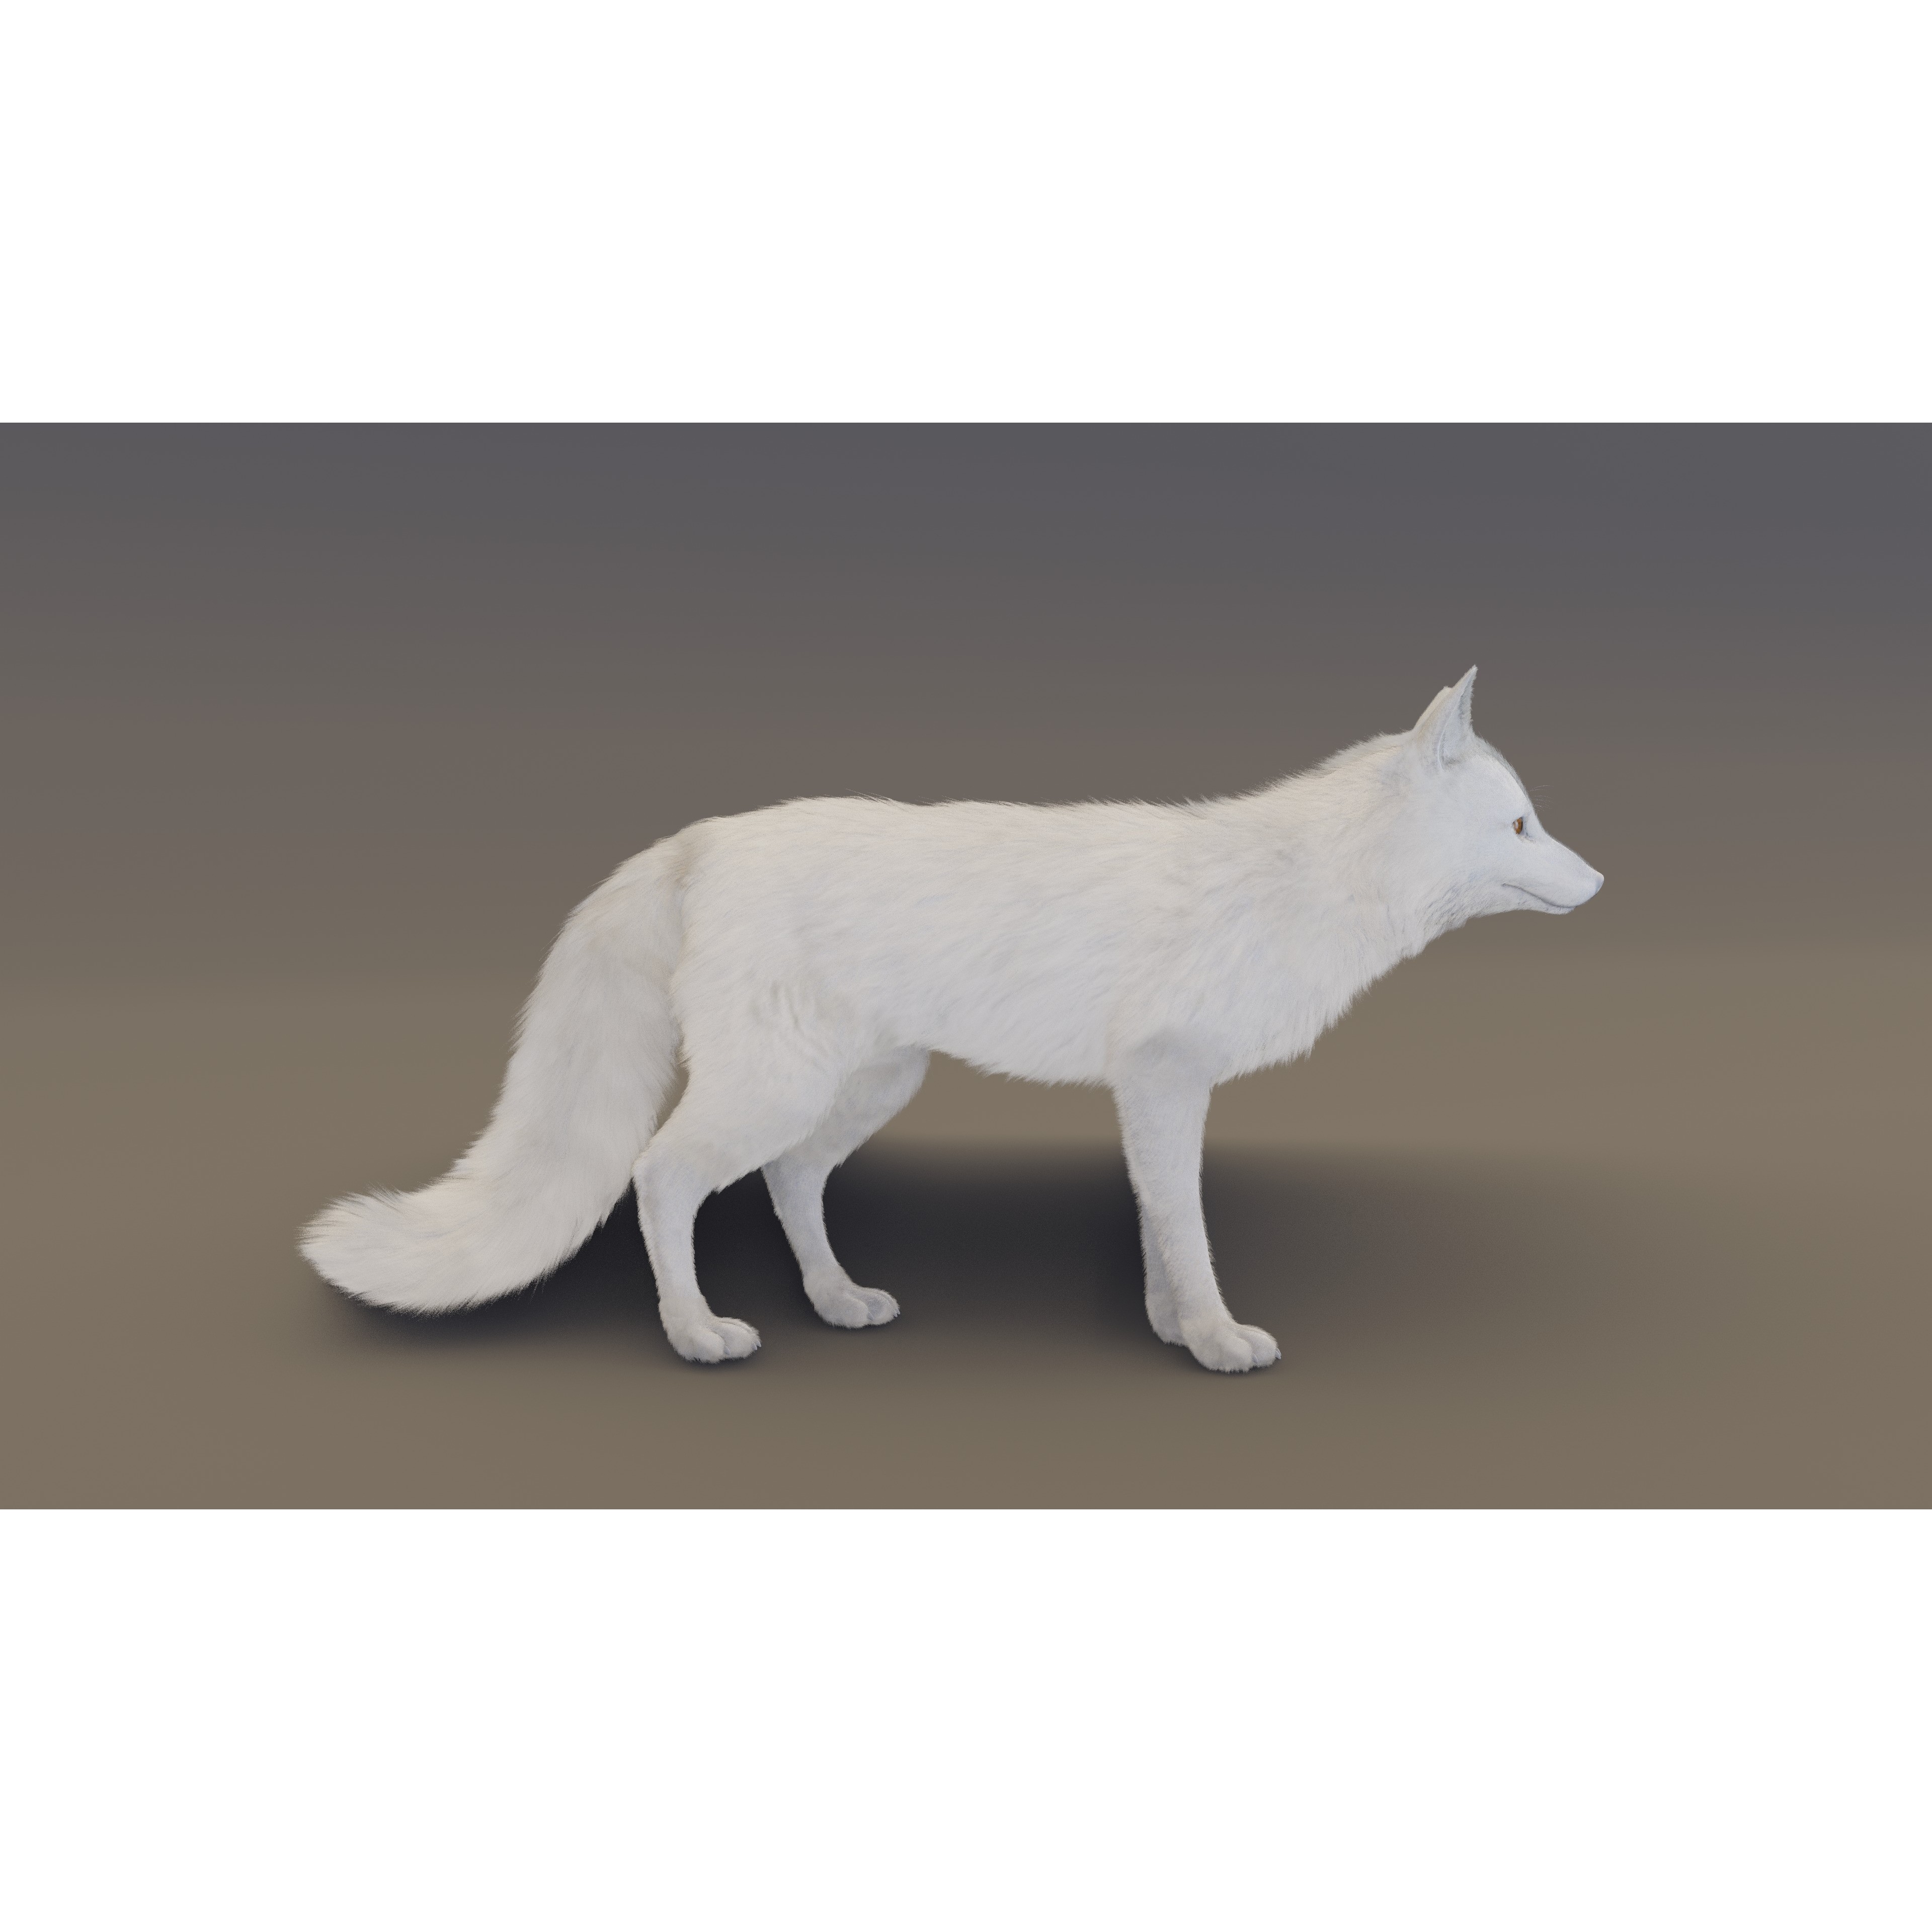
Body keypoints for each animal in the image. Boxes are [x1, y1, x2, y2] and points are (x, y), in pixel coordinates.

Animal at [302, 668, 1603, 1373]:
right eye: (1524, 826)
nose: (1599, 883)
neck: (1305, 886)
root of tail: (702, 837)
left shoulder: (1152, 1092)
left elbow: (1154, 1224)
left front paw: (1165, 1328)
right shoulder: (1165, 1077)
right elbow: (1186, 1227)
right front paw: (1215, 1338)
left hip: (867, 1087)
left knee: (788, 1183)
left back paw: (836, 1301)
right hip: (772, 1090)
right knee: (660, 1178)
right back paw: (697, 1331)